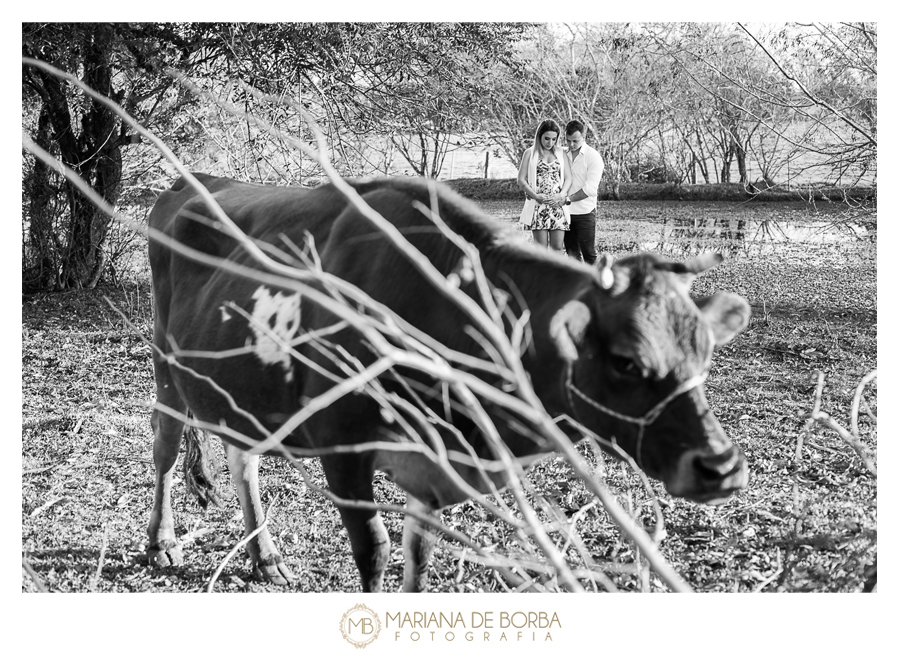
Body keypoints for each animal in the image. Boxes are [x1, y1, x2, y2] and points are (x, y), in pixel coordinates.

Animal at [149, 173, 752, 588]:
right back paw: (161, 544)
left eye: (704, 353)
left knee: (242, 459)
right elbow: (375, 551)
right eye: (626, 360)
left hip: (238, 389)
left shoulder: (436, 470)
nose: (720, 466)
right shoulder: (343, 448)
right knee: (166, 449)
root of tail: (189, 182)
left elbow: (420, 559)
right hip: (165, 367)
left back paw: (265, 557)